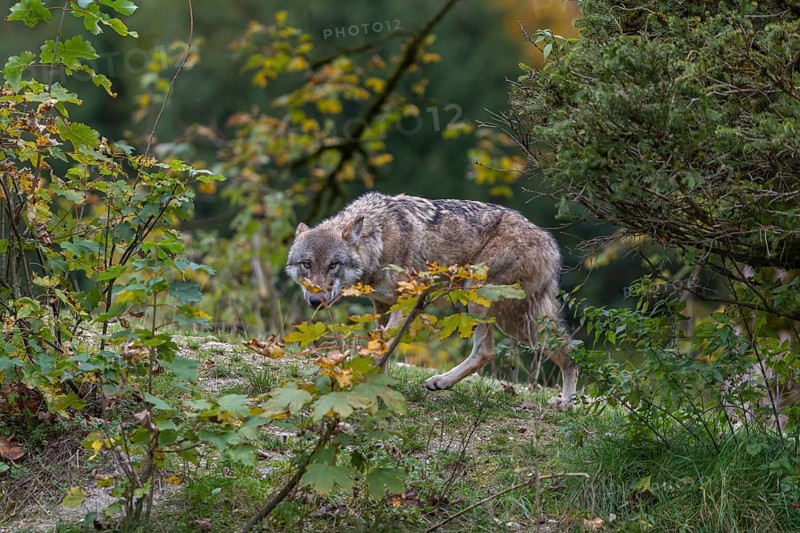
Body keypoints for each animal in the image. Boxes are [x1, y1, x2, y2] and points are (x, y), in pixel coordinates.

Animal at [285, 192, 578, 408]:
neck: (379, 241)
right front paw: (380, 382)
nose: (315, 300)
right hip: (508, 318)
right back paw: (443, 382)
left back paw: (565, 402)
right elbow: (382, 347)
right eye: (306, 264)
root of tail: (551, 242)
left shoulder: (407, 303)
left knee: (557, 351)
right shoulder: (381, 305)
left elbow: (382, 346)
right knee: (493, 351)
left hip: (487, 302)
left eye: (333, 265)